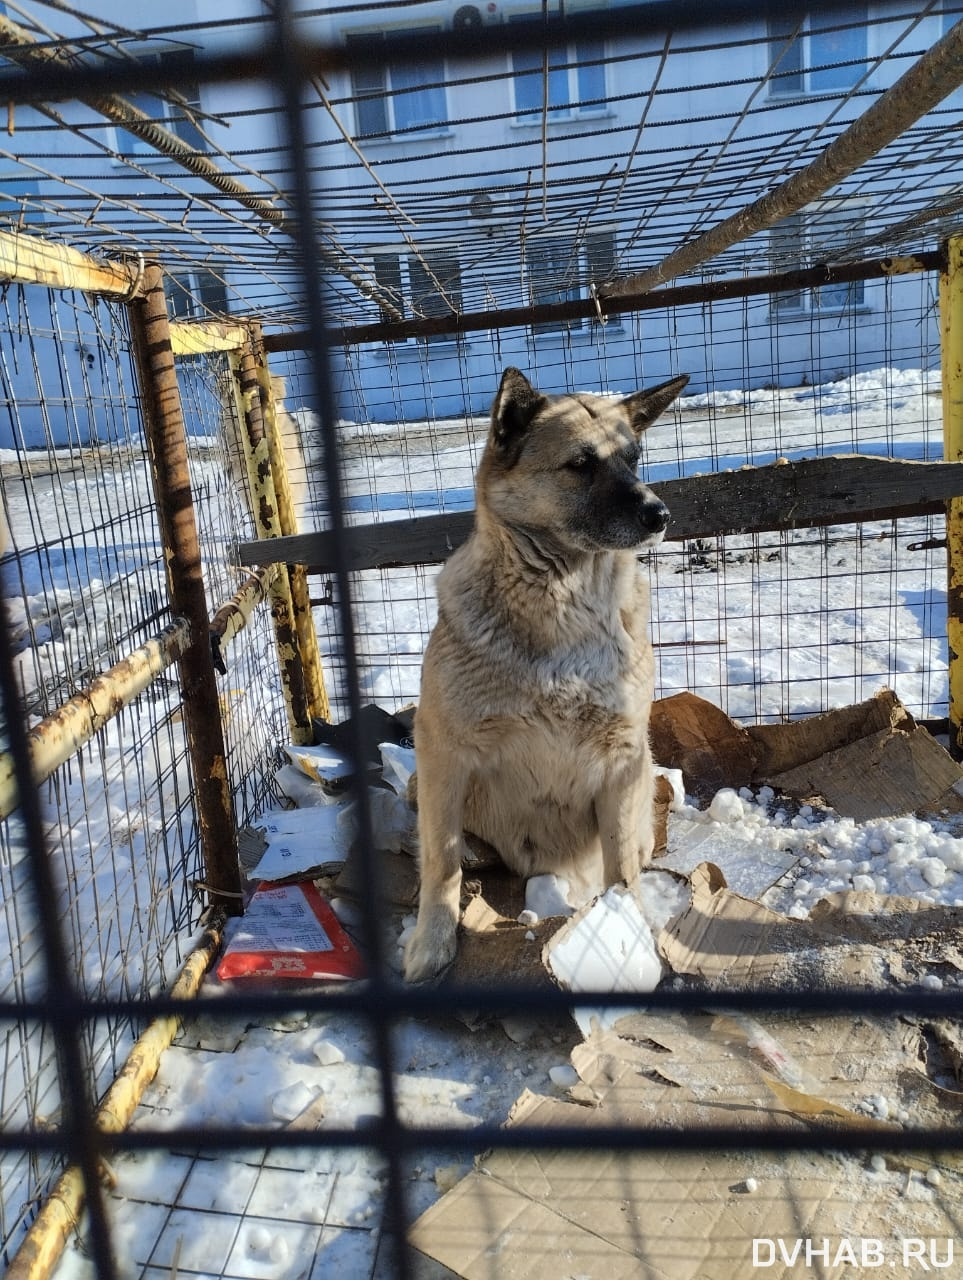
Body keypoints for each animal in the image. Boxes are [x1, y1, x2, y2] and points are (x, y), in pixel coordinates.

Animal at [402, 366, 686, 983]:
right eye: (580, 463)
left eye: (633, 459)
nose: (661, 515)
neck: (562, 602)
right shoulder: (442, 753)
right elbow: (441, 863)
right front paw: (432, 944)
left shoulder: (624, 758)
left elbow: (622, 870)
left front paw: (631, 931)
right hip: (422, 784)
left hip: (645, 778)